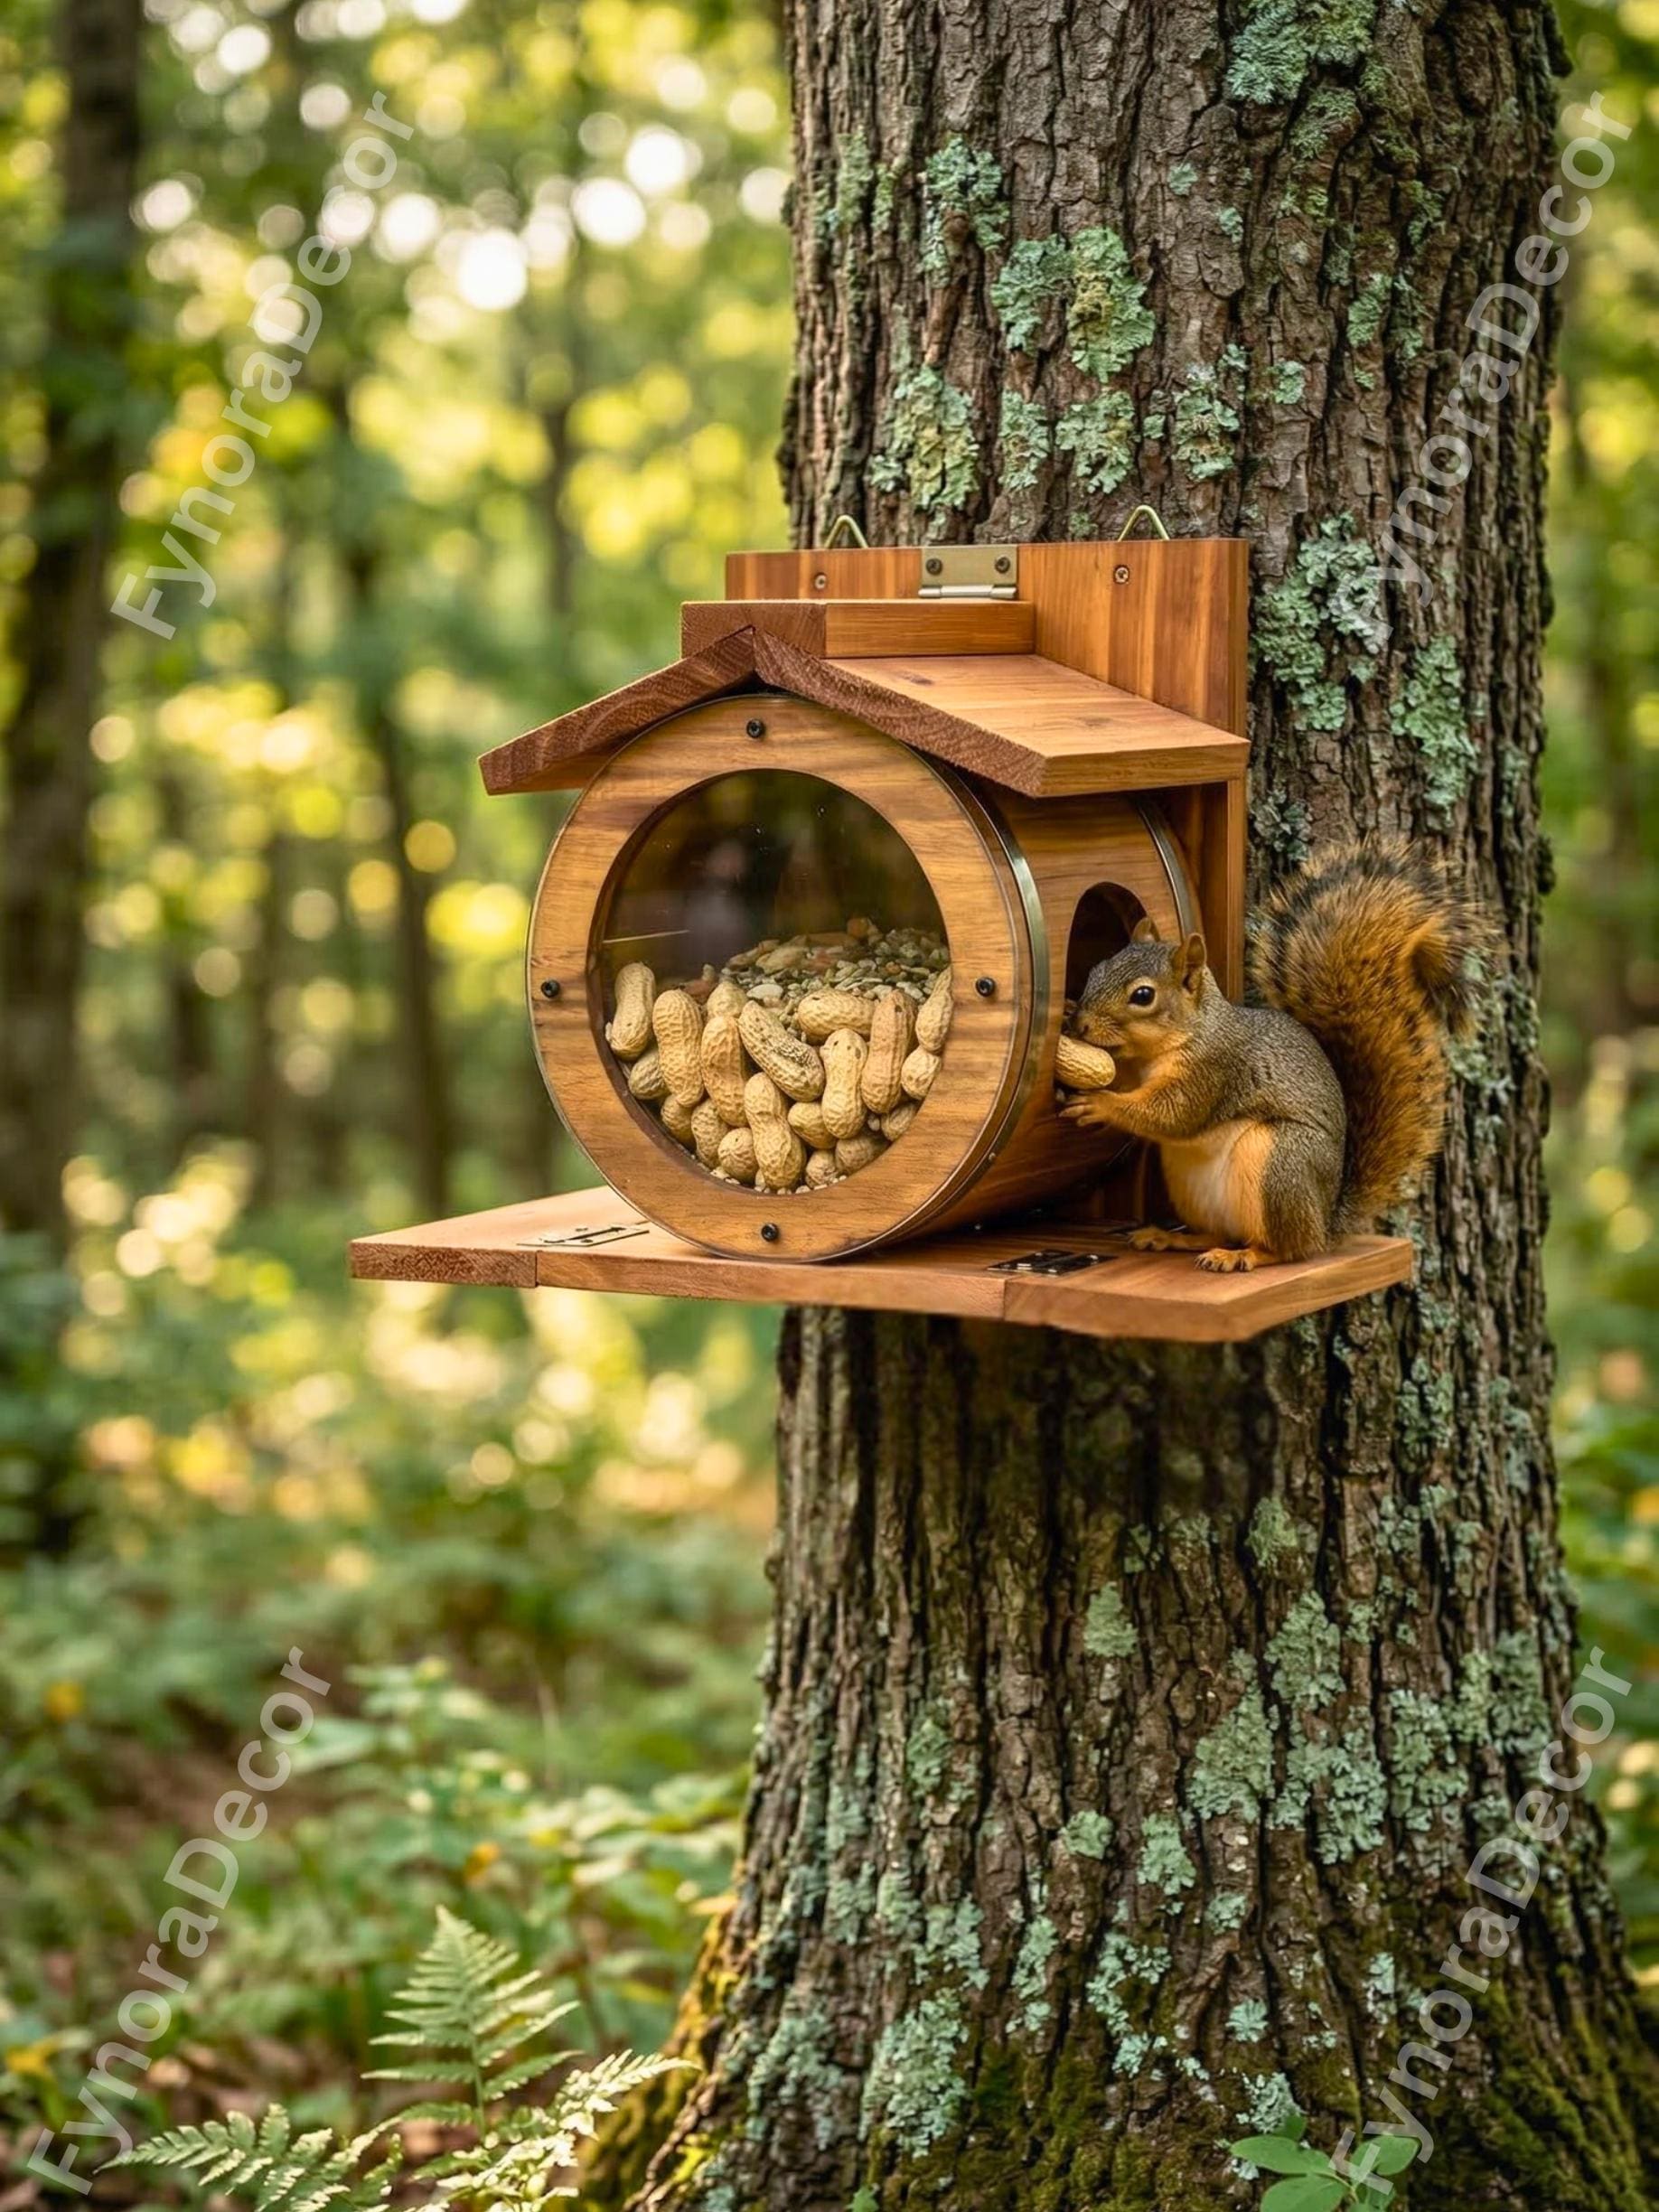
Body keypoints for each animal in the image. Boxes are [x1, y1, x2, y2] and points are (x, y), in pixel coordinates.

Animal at [1061, 842, 1487, 1273]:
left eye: (1143, 995)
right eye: (1097, 968)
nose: (1080, 1023)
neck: (1174, 1041)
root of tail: (1326, 1223)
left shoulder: (1214, 1071)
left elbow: (1172, 1114)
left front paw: (1100, 1105)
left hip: (1280, 1163)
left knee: (1287, 1248)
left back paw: (1242, 1255)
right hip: (1188, 1181)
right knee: (1218, 1232)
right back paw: (1171, 1238)